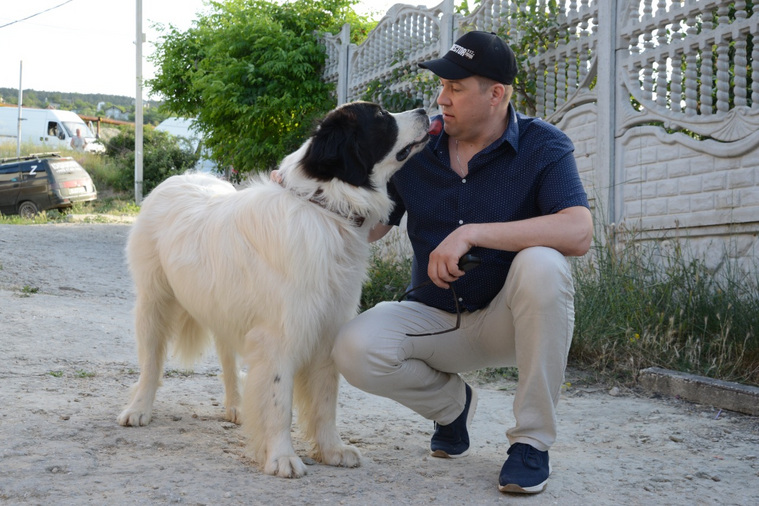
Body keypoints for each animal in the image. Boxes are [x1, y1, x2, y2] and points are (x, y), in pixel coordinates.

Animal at [116, 103, 430, 478]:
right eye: (381, 116)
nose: (425, 110)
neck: (324, 209)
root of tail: (179, 178)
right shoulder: (281, 336)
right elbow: (280, 402)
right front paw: (281, 456)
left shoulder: (327, 331)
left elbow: (326, 400)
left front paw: (332, 449)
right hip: (155, 303)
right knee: (151, 363)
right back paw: (138, 409)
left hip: (223, 308)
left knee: (227, 359)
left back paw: (235, 406)